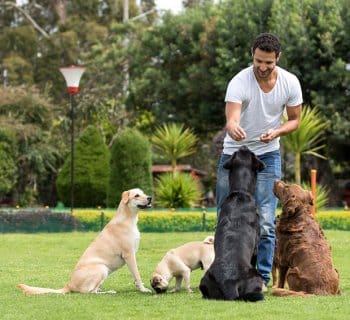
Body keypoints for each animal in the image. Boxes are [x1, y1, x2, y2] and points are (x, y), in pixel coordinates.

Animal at [17, 188, 152, 296]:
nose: (150, 198)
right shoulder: (129, 255)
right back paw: (108, 292)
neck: (128, 219)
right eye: (136, 195)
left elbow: (135, 276)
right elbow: (137, 274)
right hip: (102, 268)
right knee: (90, 292)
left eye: (144, 193)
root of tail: (69, 284)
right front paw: (143, 289)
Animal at [200, 146, 266, 302]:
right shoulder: (256, 247)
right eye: (252, 153)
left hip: (204, 280)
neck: (241, 193)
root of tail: (228, 282)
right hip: (255, 275)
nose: (244, 146)